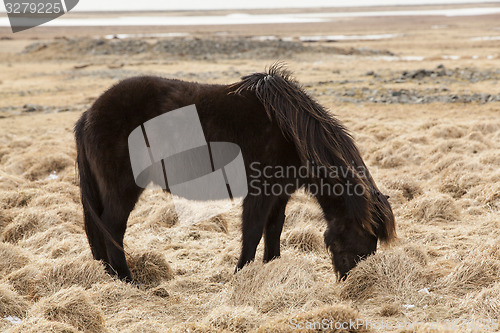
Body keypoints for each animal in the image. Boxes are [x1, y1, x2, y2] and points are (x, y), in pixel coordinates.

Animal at [75, 63, 394, 282]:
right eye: (362, 243)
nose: (351, 285)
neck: (290, 133)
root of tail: (89, 114)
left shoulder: (280, 193)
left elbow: (273, 229)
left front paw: (271, 267)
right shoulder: (259, 192)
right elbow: (252, 232)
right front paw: (241, 272)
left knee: (99, 228)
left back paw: (108, 274)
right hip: (122, 189)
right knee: (112, 227)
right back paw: (126, 279)